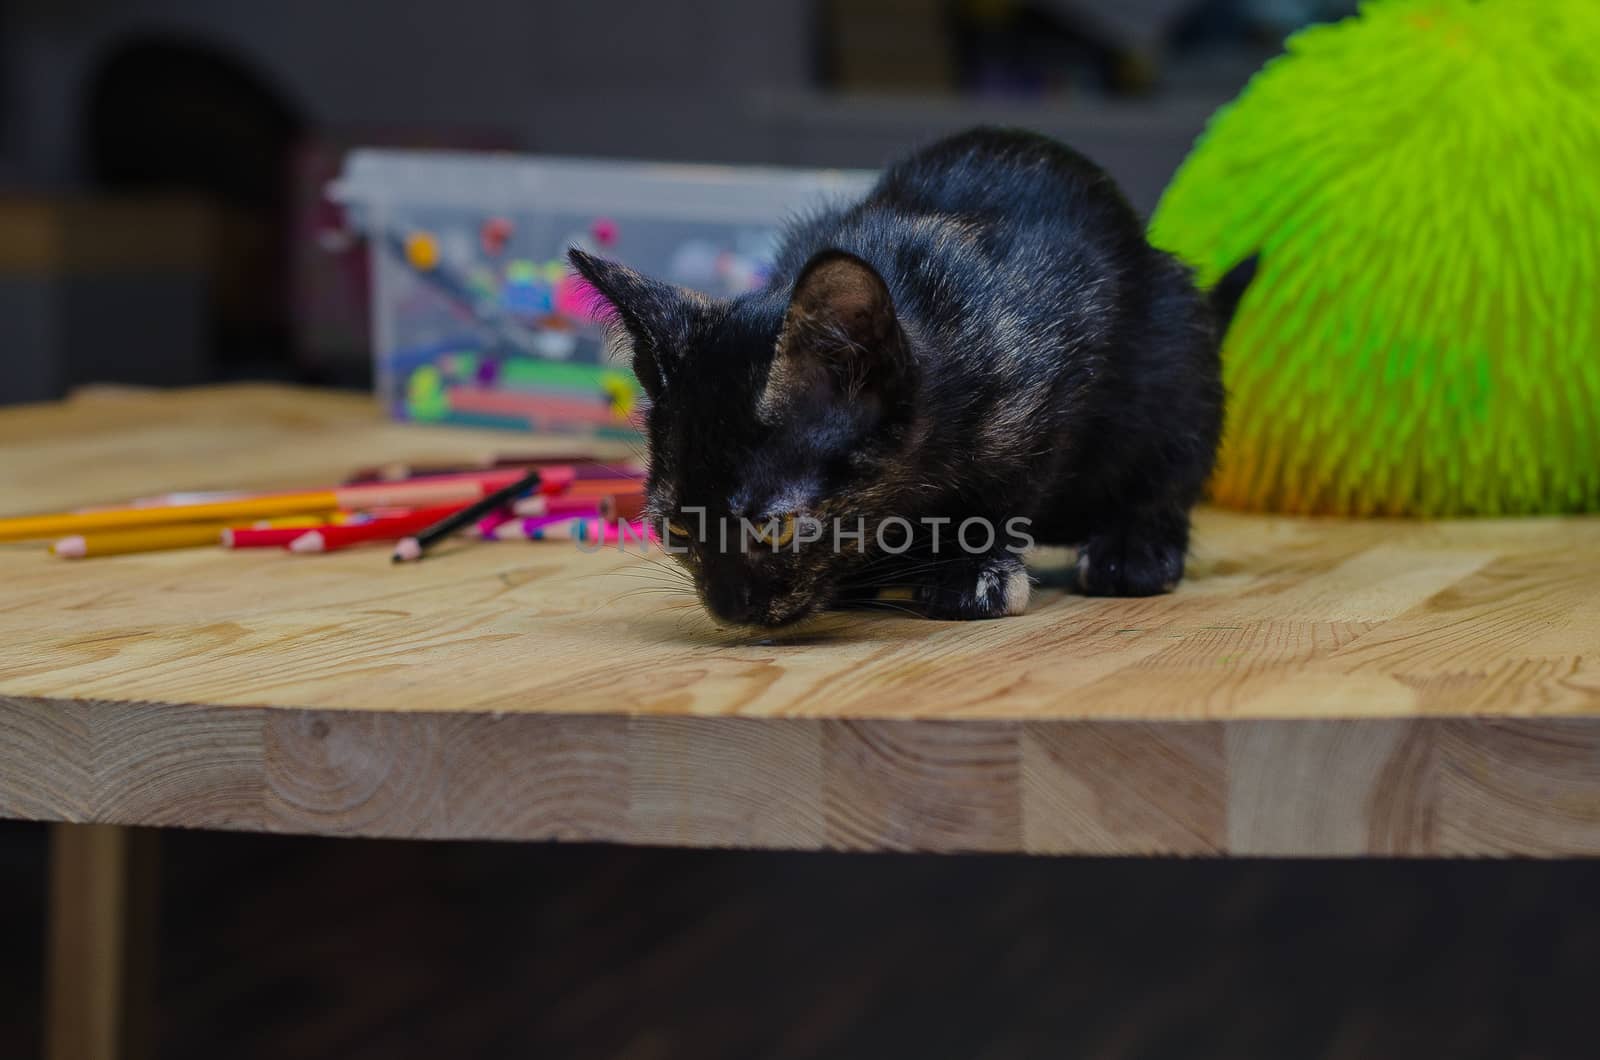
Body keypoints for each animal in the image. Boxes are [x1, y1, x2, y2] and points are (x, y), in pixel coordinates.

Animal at [576, 130, 1235, 630]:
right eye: (676, 528)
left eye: (777, 527)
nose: (730, 611)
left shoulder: (1051, 372)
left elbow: (1010, 486)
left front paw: (973, 567)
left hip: (1179, 341)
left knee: (1169, 466)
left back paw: (1135, 546)